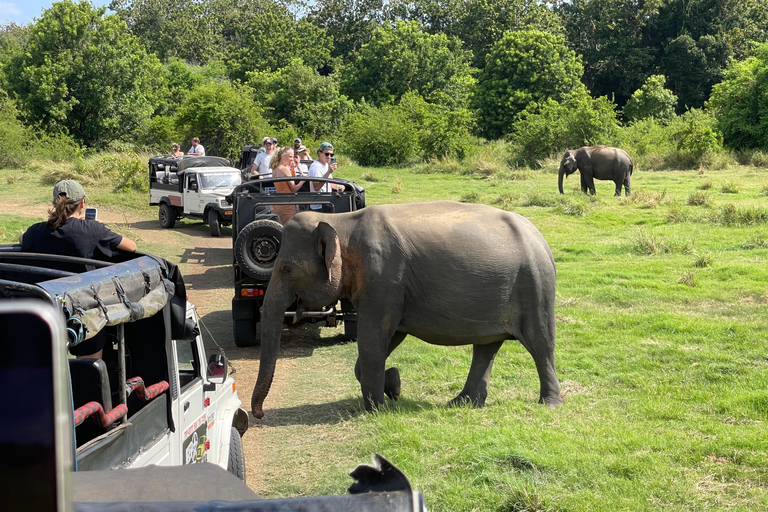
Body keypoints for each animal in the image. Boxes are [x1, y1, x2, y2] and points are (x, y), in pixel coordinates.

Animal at [250, 201, 563, 418]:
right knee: (486, 346)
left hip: (536, 287)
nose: (259, 414)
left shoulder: (383, 279)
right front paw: (394, 386)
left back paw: (549, 404)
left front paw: (375, 409)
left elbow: (373, 337)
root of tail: (540, 238)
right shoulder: (388, 289)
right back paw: (462, 402)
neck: (343, 222)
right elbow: (389, 336)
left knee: (540, 345)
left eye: (286, 268)